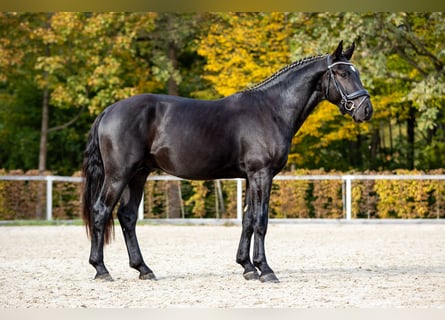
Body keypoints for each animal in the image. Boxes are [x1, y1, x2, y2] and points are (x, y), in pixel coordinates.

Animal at [80, 40, 372, 282]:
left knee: (127, 217)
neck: (271, 109)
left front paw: (247, 267)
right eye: (343, 73)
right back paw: (101, 269)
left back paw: (143, 269)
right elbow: (261, 220)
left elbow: (247, 219)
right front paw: (265, 270)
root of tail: (108, 111)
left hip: (138, 174)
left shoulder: (251, 177)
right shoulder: (261, 174)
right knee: (101, 211)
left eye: (355, 71)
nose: (366, 110)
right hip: (119, 175)